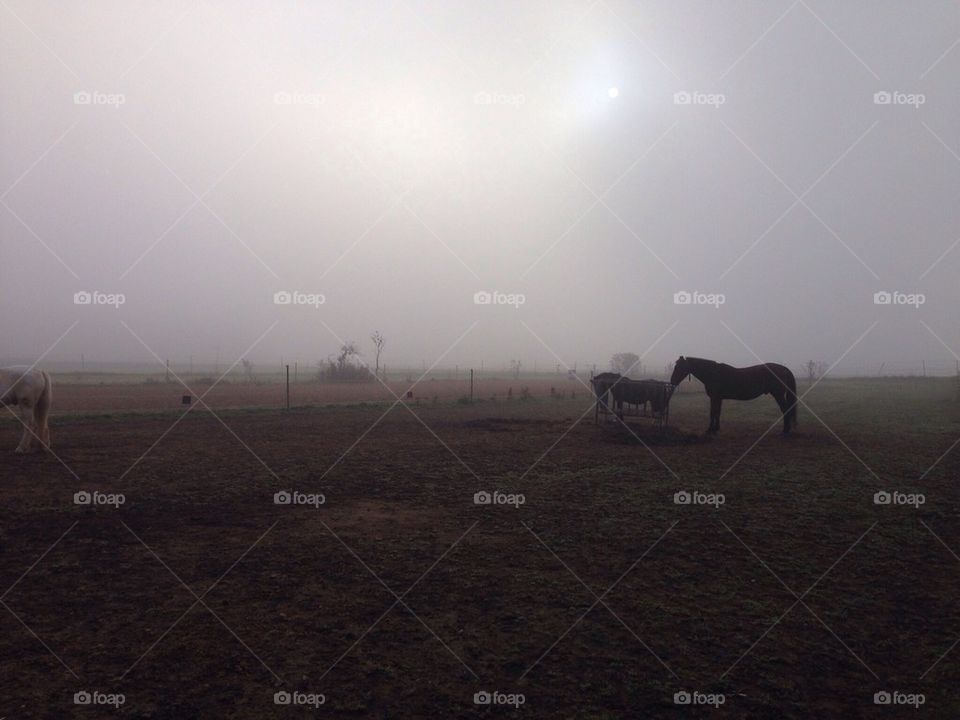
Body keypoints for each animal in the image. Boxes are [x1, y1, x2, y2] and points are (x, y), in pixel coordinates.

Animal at [672, 354, 800, 434]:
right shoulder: (719, 398)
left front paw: (710, 430)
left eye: (679, 367)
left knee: (785, 409)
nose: (672, 381)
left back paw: (785, 431)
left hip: (778, 394)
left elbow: (712, 412)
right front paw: (716, 429)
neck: (713, 373)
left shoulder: (714, 397)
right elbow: (717, 412)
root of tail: (784, 368)